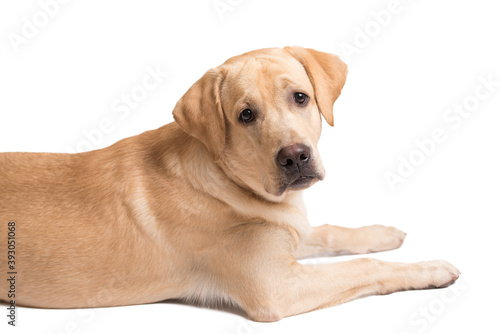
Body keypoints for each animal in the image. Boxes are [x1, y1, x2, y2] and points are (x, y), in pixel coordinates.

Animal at [0, 47, 460, 320]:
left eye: (300, 97)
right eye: (246, 115)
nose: (295, 157)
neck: (231, 183)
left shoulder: (289, 232)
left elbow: (330, 232)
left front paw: (381, 232)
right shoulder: (275, 288)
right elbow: (363, 266)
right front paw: (429, 268)